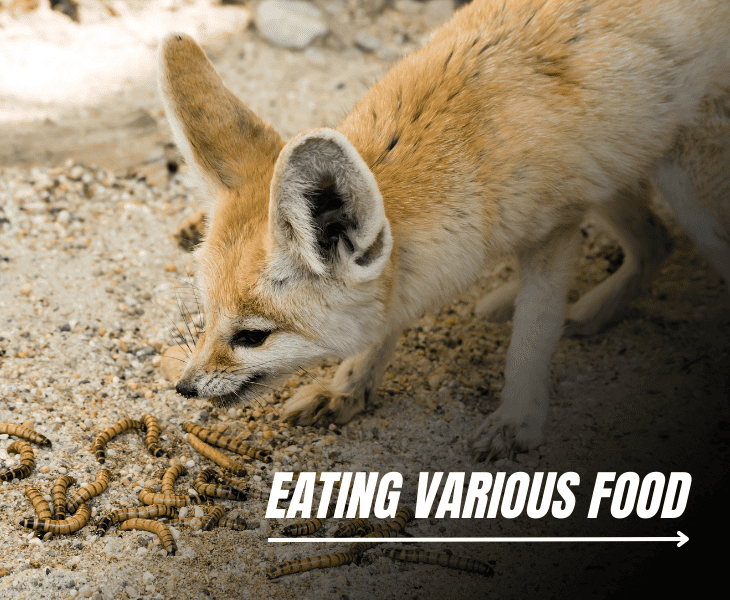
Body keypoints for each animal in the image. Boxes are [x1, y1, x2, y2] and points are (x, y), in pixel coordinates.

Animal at [159, 0, 730, 461]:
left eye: (253, 336)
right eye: (205, 316)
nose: (184, 388)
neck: (469, 151)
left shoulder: (556, 228)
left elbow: (533, 333)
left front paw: (517, 420)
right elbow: (384, 322)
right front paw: (349, 387)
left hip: (684, 188)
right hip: (618, 164)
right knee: (657, 242)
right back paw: (586, 309)